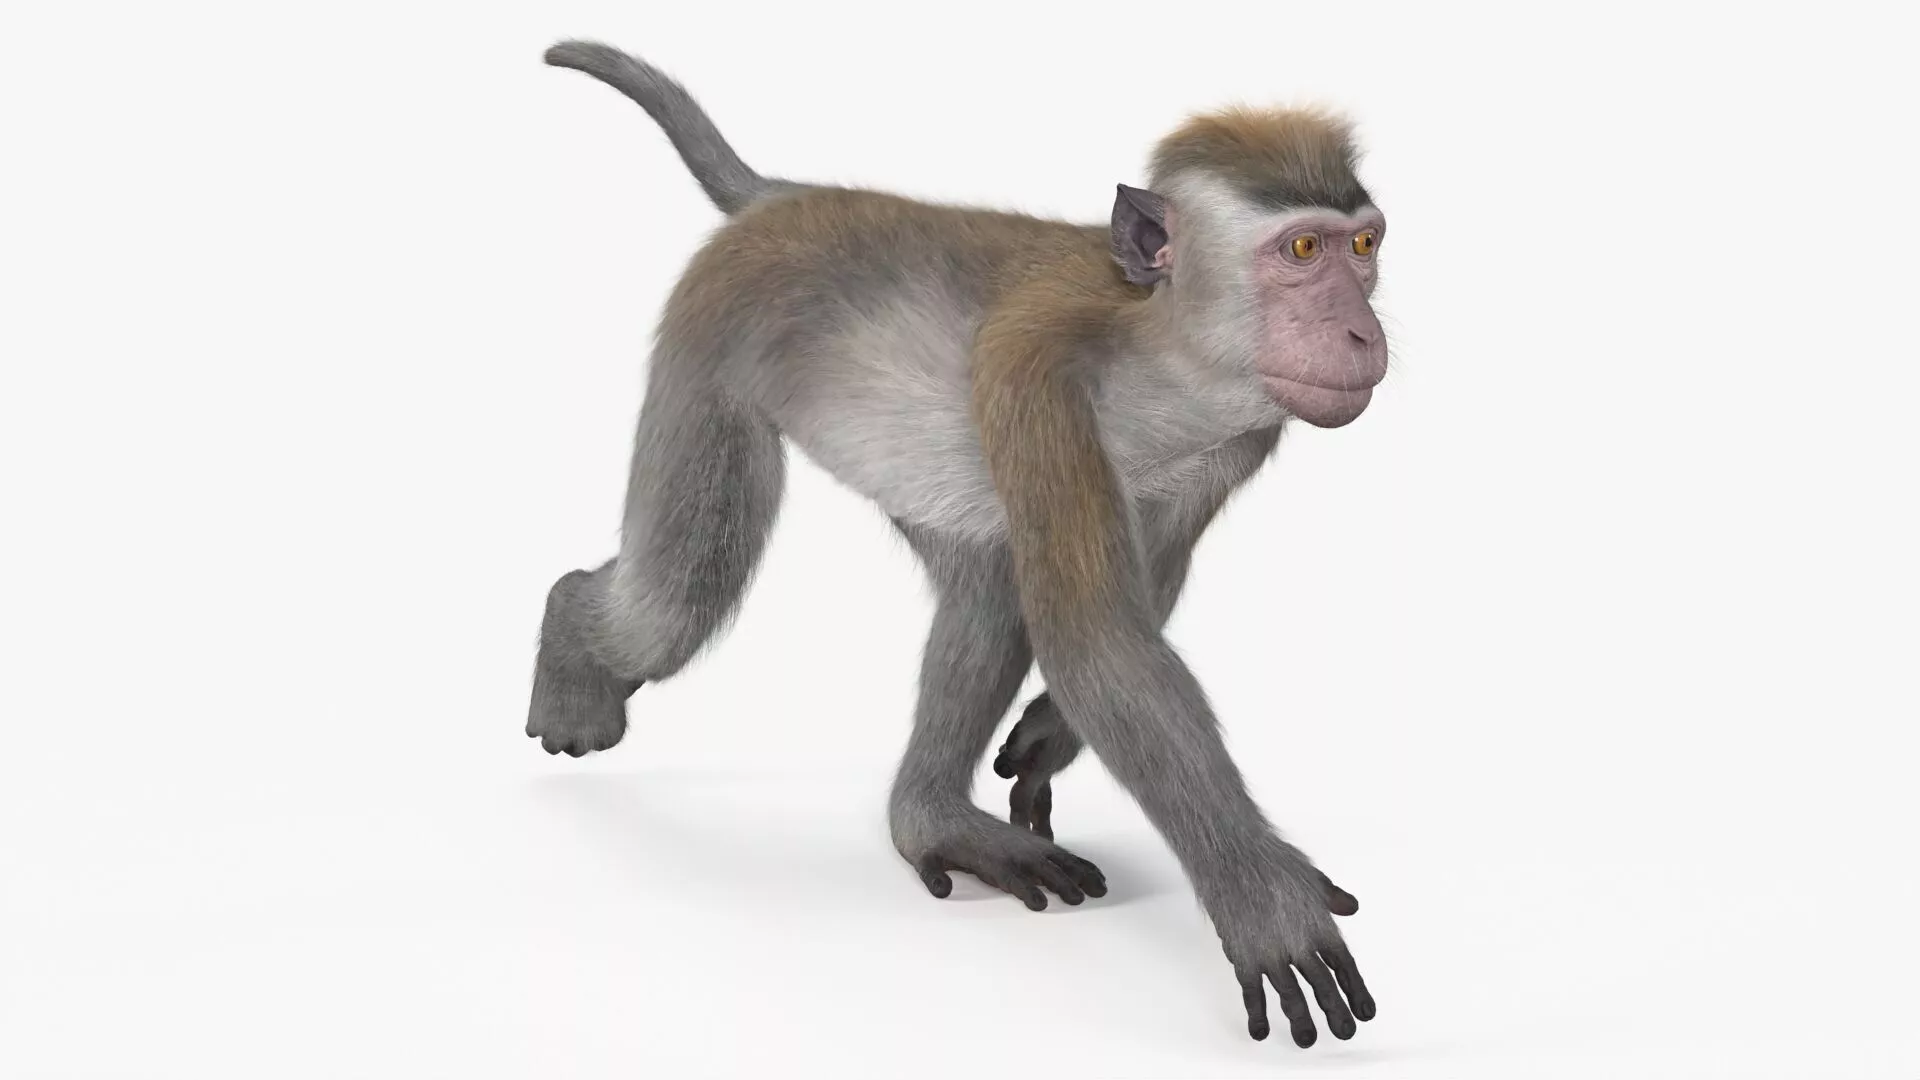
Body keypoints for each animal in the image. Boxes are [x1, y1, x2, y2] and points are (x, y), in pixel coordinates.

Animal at [529, 41, 1388, 1047]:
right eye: (1303, 249)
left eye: (1364, 246)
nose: (1361, 331)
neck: (1161, 347)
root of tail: (789, 199)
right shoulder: (1030, 370)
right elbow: (1098, 640)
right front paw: (1264, 898)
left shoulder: (1244, 430)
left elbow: (1141, 593)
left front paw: (1051, 734)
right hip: (714, 337)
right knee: (681, 595)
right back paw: (569, 638)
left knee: (986, 579)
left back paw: (930, 820)